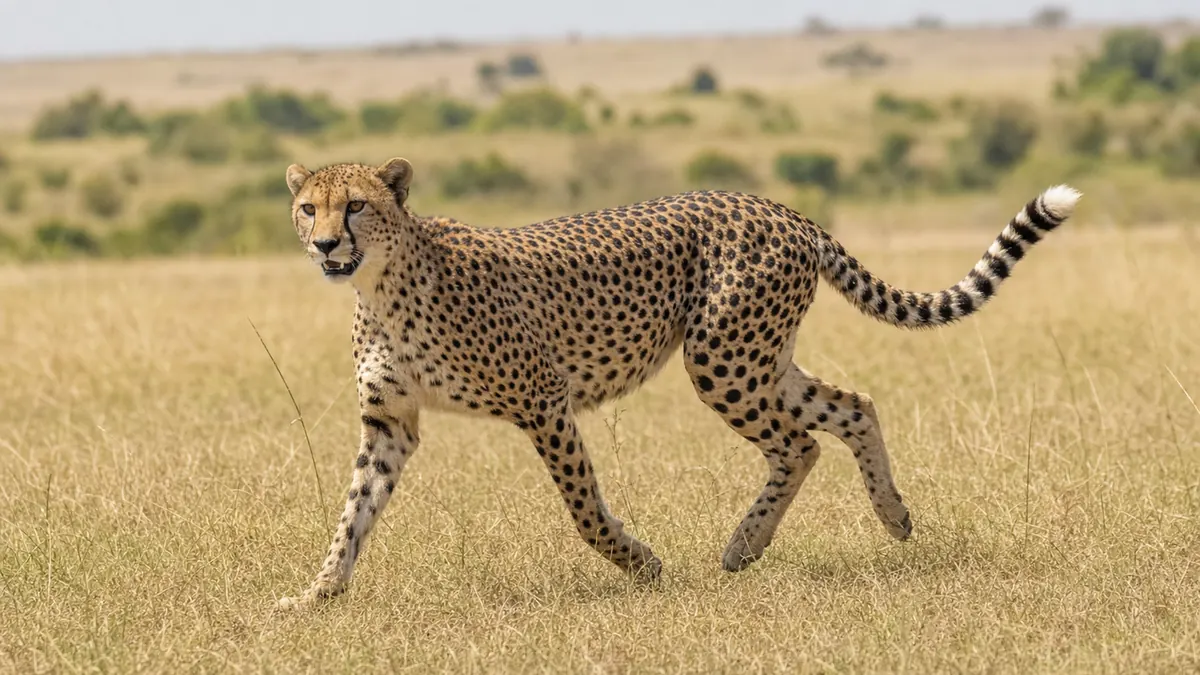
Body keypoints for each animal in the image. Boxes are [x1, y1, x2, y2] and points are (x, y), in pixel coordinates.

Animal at [275, 156, 1080, 608]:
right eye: (308, 207)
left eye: (356, 205)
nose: (324, 243)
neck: (384, 283)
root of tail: (776, 207)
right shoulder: (391, 424)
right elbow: (353, 513)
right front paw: (319, 594)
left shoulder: (544, 401)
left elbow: (584, 509)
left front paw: (641, 564)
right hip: (756, 358)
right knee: (851, 406)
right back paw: (890, 516)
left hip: (722, 359)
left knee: (798, 442)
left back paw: (744, 544)